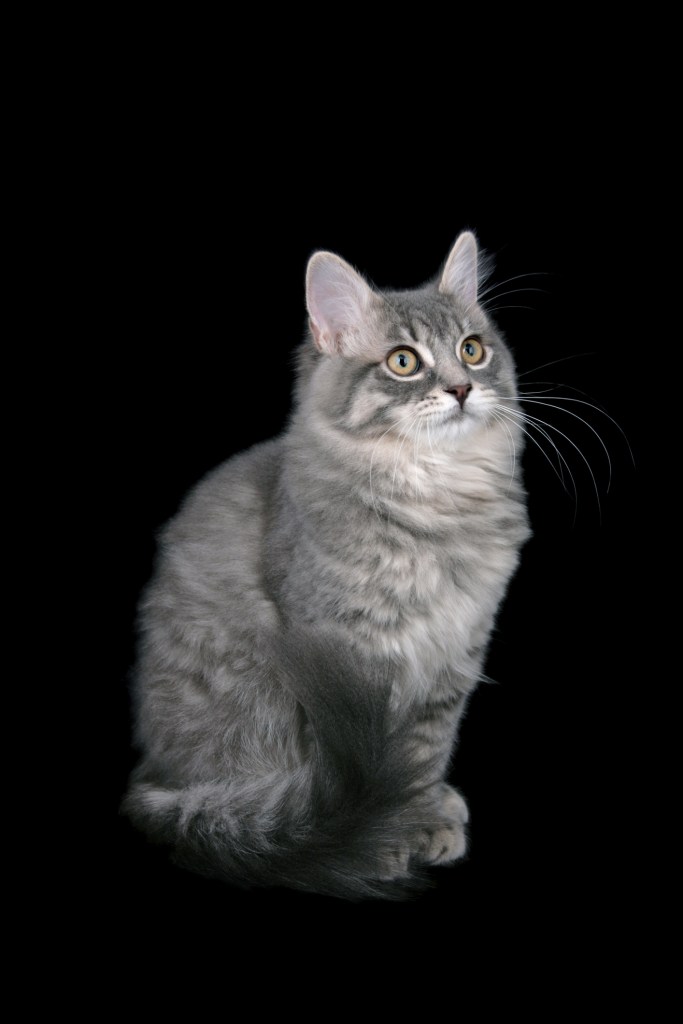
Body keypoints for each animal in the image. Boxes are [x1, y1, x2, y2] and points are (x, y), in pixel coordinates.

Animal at [121, 230, 532, 897]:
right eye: (403, 362)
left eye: (472, 351)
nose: (462, 389)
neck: (436, 504)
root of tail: (153, 780)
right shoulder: (343, 653)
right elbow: (358, 768)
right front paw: (382, 838)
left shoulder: (455, 656)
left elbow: (424, 753)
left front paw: (424, 816)